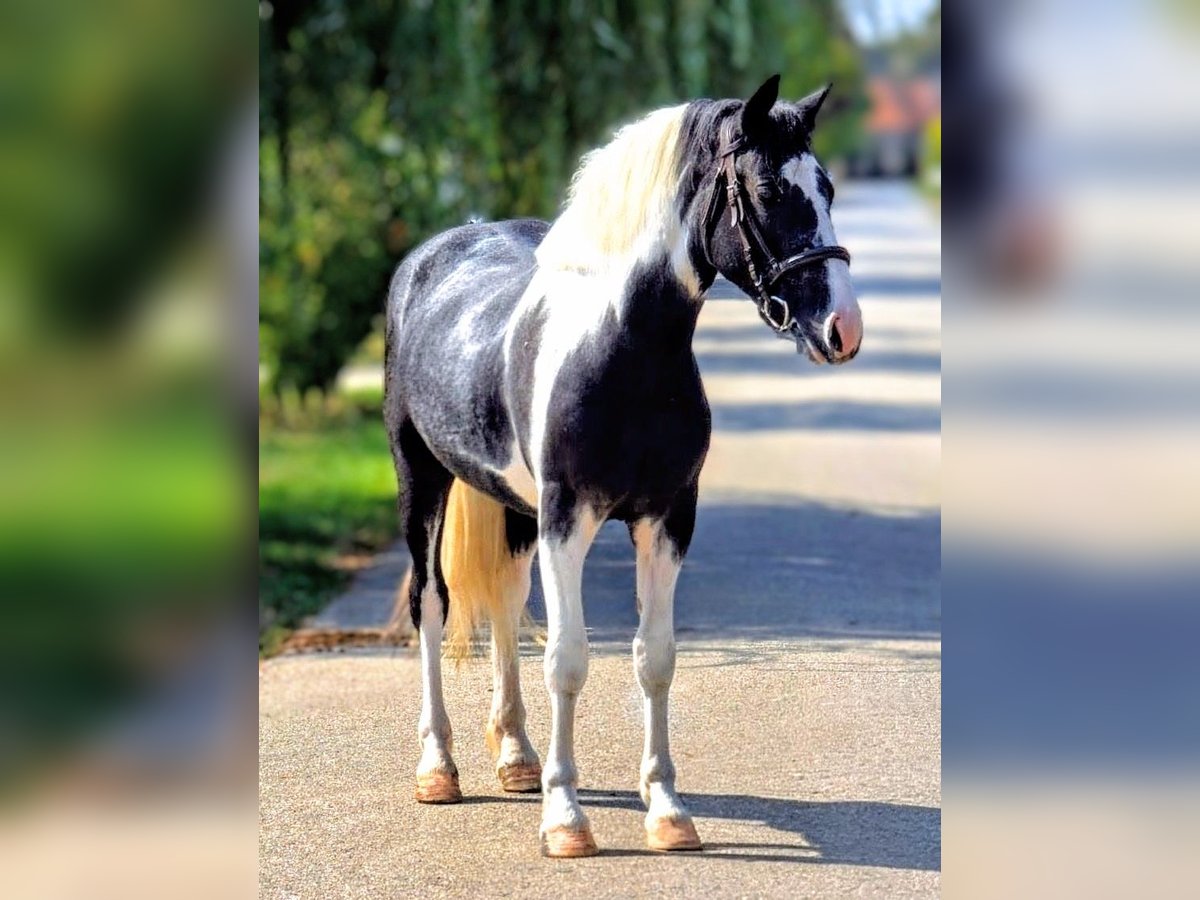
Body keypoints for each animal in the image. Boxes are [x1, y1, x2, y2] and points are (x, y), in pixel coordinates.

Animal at [383, 74, 862, 858]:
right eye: (766, 188)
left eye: (825, 186)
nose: (842, 329)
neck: (620, 347)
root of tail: (431, 257)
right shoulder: (567, 519)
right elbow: (569, 660)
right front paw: (565, 818)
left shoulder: (666, 519)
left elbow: (654, 657)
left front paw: (666, 810)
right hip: (420, 480)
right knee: (432, 602)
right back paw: (438, 769)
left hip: (515, 507)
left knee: (507, 602)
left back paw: (515, 759)